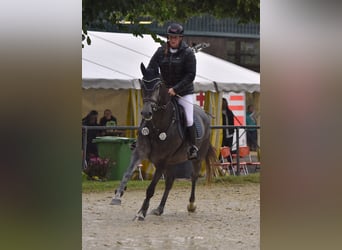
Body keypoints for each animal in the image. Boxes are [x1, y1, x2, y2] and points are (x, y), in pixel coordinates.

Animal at [111, 63, 215, 221]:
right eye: (143, 85)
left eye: (158, 86)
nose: (146, 113)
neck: (158, 124)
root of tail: (205, 116)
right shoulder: (140, 152)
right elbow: (127, 173)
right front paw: (118, 195)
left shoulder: (162, 161)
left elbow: (151, 188)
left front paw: (141, 212)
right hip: (172, 162)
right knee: (169, 182)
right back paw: (160, 208)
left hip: (196, 158)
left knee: (194, 177)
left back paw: (191, 205)